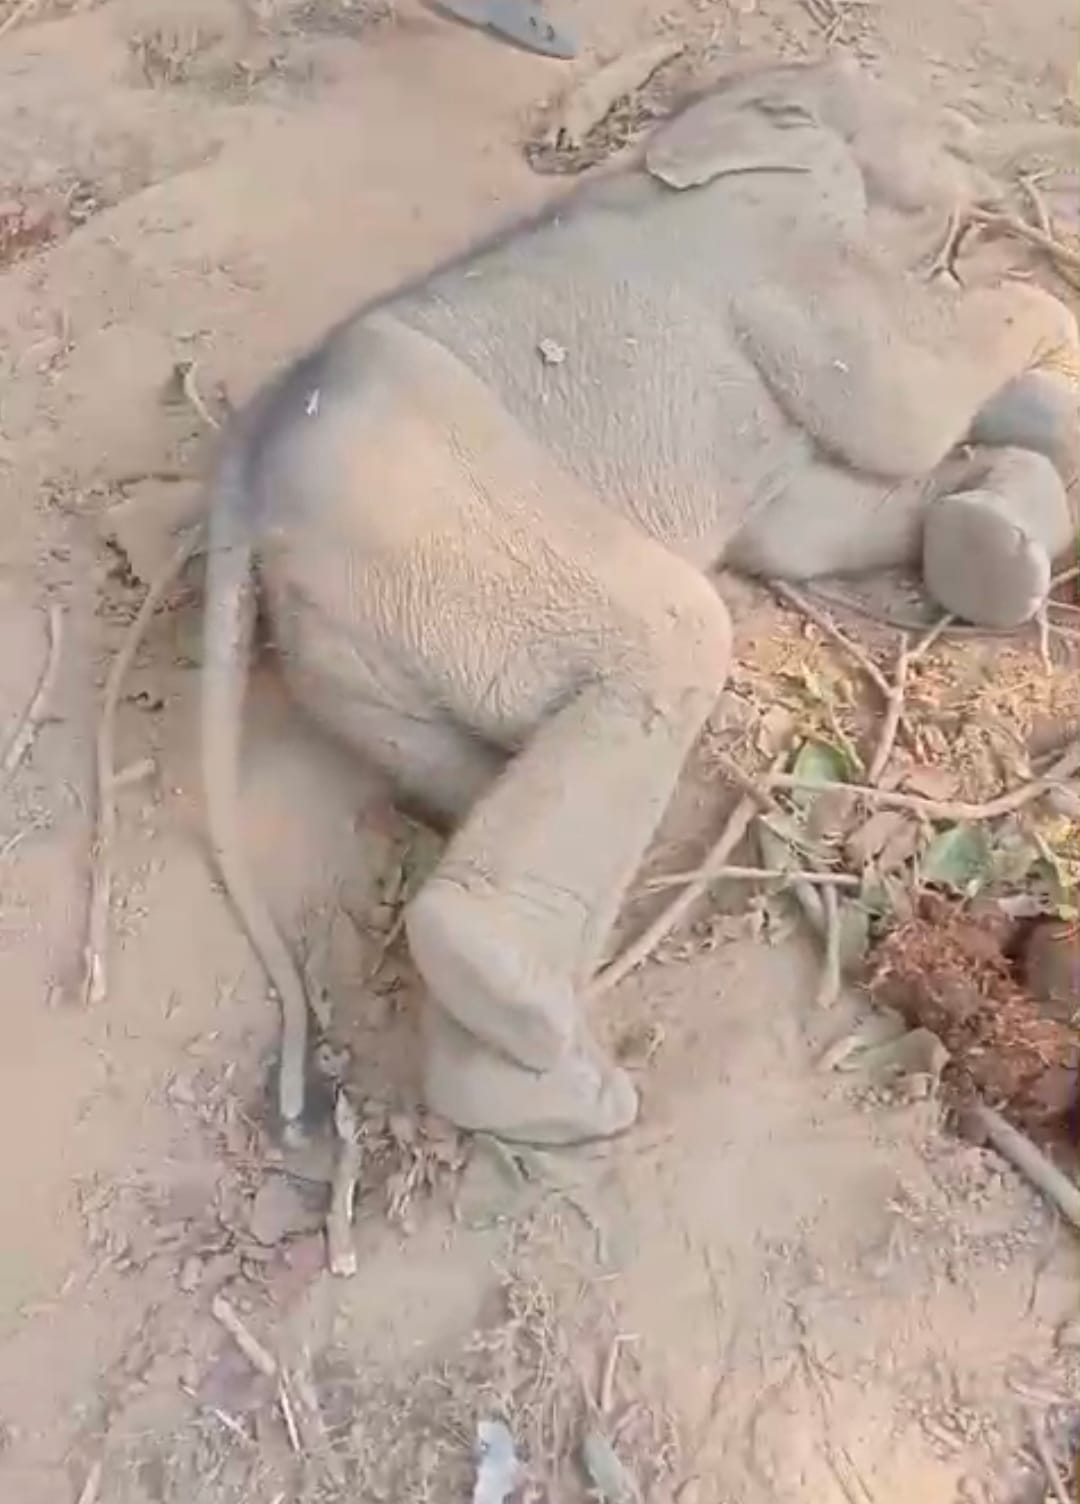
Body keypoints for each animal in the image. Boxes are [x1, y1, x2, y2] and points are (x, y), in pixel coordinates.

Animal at [200, 57, 1079, 1146]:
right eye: (937, 130)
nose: (985, 153)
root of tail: (245, 487)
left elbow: (805, 521)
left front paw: (997, 527)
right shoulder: (782, 251)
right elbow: (895, 409)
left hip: (360, 662)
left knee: (482, 767)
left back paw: (536, 1092)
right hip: (443, 515)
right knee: (675, 635)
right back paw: (518, 1014)